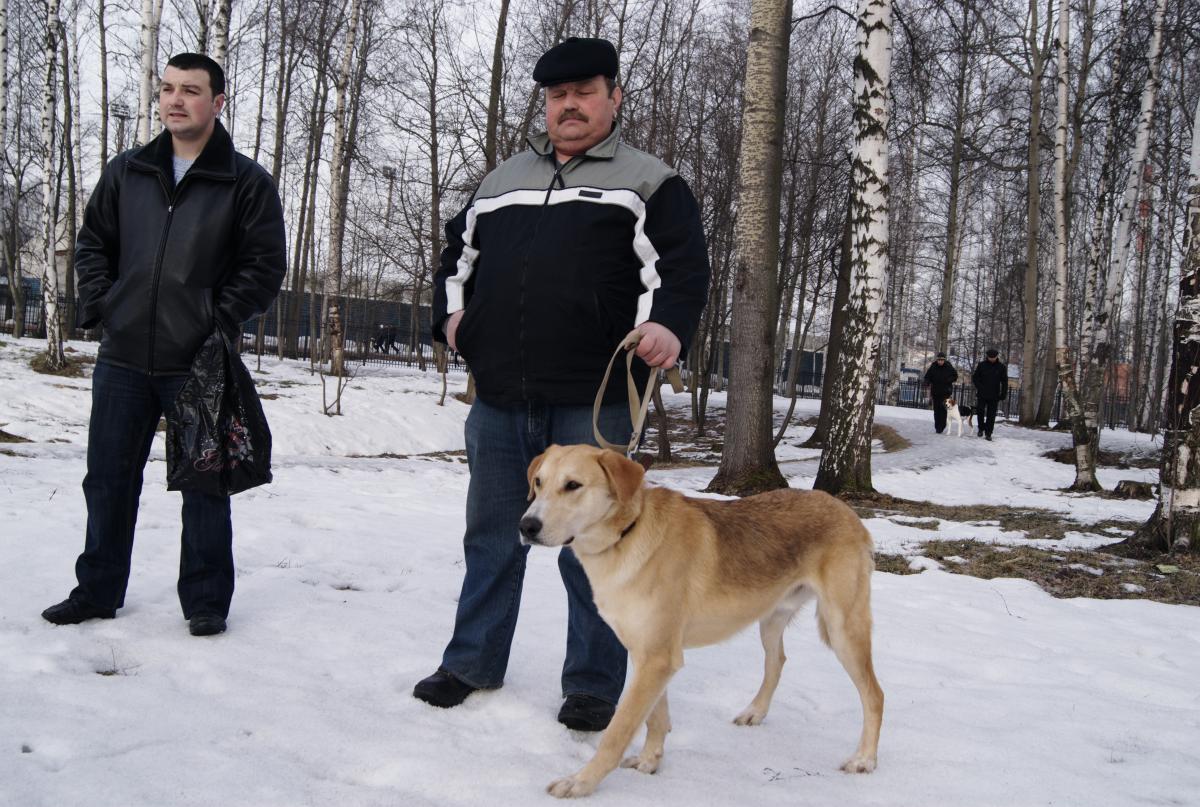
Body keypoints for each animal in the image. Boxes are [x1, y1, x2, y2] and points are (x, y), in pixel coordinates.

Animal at [519, 444, 883, 798]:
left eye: (573, 485)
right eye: (538, 483)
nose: (526, 527)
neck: (627, 533)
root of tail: (844, 508)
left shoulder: (657, 658)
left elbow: (618, 732)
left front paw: (581, 782)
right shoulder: (647, 655)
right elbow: (655, 718)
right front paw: (650, 762)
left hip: (842, 629)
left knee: (874, 695)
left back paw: (864, 759)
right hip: (770, 620)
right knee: (777, 661)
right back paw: (755, 711)